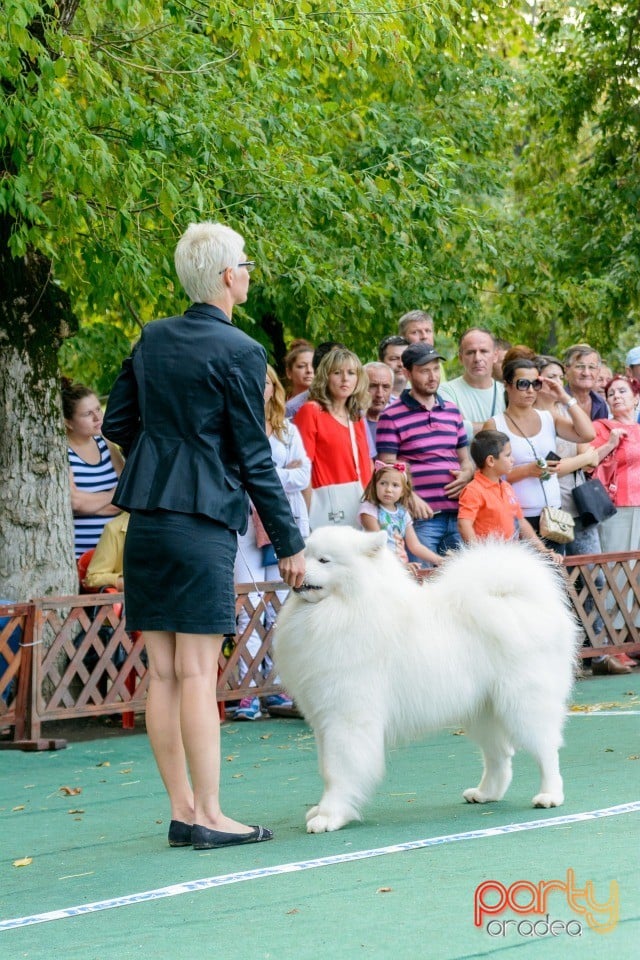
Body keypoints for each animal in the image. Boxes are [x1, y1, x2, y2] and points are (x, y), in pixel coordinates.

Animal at [276, 524, 580, 832]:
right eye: (306, 555)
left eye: (324, 560)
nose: (293, 572)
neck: (349, 606)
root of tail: (519, 598)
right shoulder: (324, 717)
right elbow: (326, 768)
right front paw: (323, 810)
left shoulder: (346, 717)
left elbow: (338, 770)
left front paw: (330, 816)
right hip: (483, 711)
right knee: (500, 756)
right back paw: (485, 794)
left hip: (523, 703)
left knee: (546, 749)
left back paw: (549, 795)